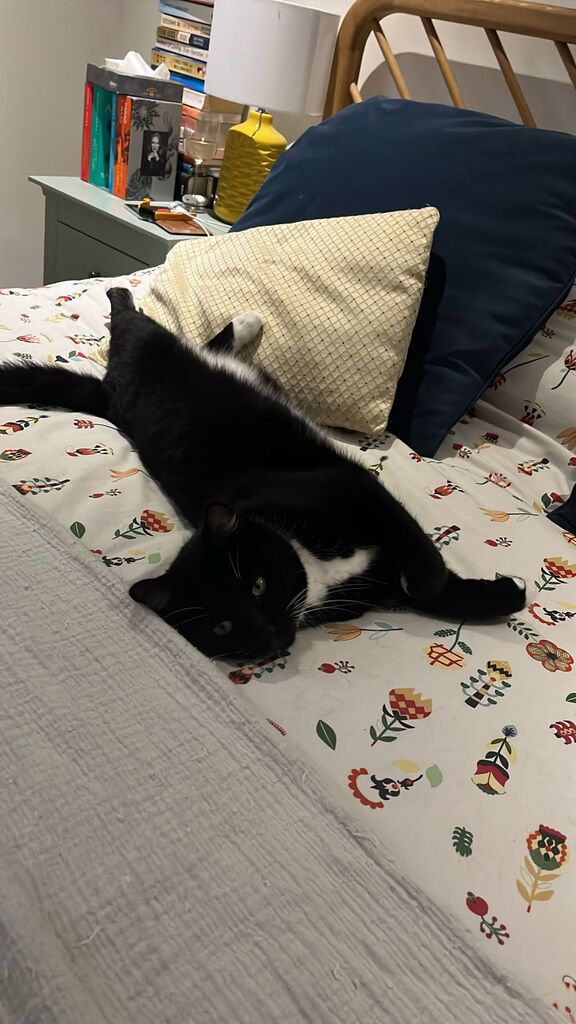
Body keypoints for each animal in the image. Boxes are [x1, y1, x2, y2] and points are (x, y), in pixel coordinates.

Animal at [0, 284, 522, 659]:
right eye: (222, 627)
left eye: (257, 584)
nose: (271, 638)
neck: (314, 566)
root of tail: (109, 393)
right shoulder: (370, 579)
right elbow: (425, 593)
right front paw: (507, 594)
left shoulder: (356, 489)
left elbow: (425, 576)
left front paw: (501, 594)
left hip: (151, 348)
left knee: (132, 317)